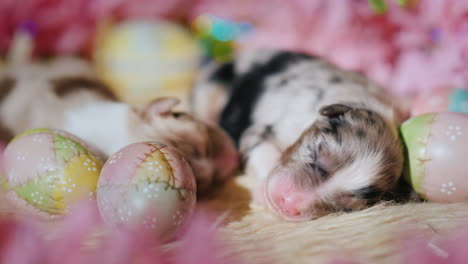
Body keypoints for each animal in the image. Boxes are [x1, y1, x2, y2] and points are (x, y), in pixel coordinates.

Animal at [191, 49, 414, 221]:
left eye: (346, 208)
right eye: (315, 153)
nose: (288, 203)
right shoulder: (262, 130)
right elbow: (264, 152)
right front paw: (262, 191)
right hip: (210, 89)